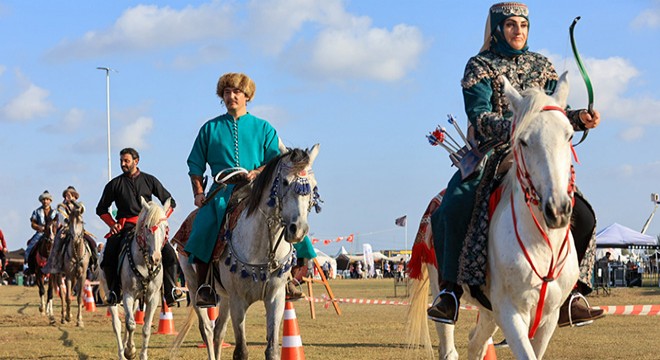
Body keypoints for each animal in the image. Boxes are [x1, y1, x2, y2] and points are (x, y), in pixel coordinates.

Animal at [102, 198, 170, 358]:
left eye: (166, 227)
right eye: (146, 226)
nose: (155, 258)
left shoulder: (153, 297)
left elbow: (145, 328)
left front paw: (141, 354)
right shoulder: (128, 294)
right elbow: (131, 325)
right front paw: (130, 350)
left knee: (129, 317)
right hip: (111, 294)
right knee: (117, 324)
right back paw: (122, 353)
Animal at [174, 144, 320, 360]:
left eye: (312, 185)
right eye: (285, 182)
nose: (298, 229)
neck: (264, 247)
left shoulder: (275, 298)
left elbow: (272, 350)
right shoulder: (238, 301)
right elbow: (241, 351)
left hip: (224, 297)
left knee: (218, 332)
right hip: (193, 288)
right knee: (207, 330)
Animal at [408, 74, 576, 360]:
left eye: (569, 135)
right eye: (523, 140)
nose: (557, 209)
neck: (542, 243)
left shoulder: (549, 317)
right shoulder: (510, 311)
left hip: (489, 313)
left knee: (475, 342)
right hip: (441, 286)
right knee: (450, 346)